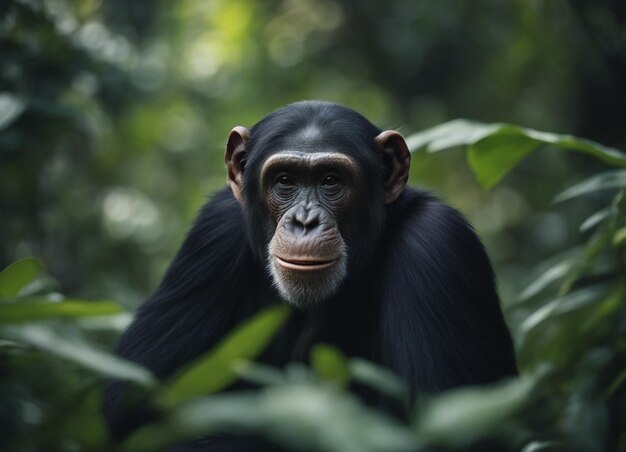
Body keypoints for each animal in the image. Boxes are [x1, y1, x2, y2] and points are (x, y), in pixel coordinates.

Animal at [105, 100, 516, 450]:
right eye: (285, 180)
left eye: (331, 180)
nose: (305, 221)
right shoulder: (211, 233)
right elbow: (135, 405)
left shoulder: (437, 244)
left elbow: (443, 431)